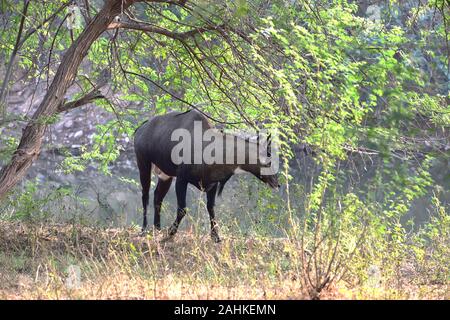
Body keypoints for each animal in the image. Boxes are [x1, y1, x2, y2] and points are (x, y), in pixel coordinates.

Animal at [133, 110, 278, 242]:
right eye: (268, 161)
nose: (276, 183)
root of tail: (141, 128)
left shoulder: (212, 185)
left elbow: (211, 208)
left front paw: (216, 236)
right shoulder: (181, 179)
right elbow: (182, 209)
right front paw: (170, 232)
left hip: (165, 175)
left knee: (158, 197)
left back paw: (157, 228)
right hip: (143, 165)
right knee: (145, 195)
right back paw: (144, 229)